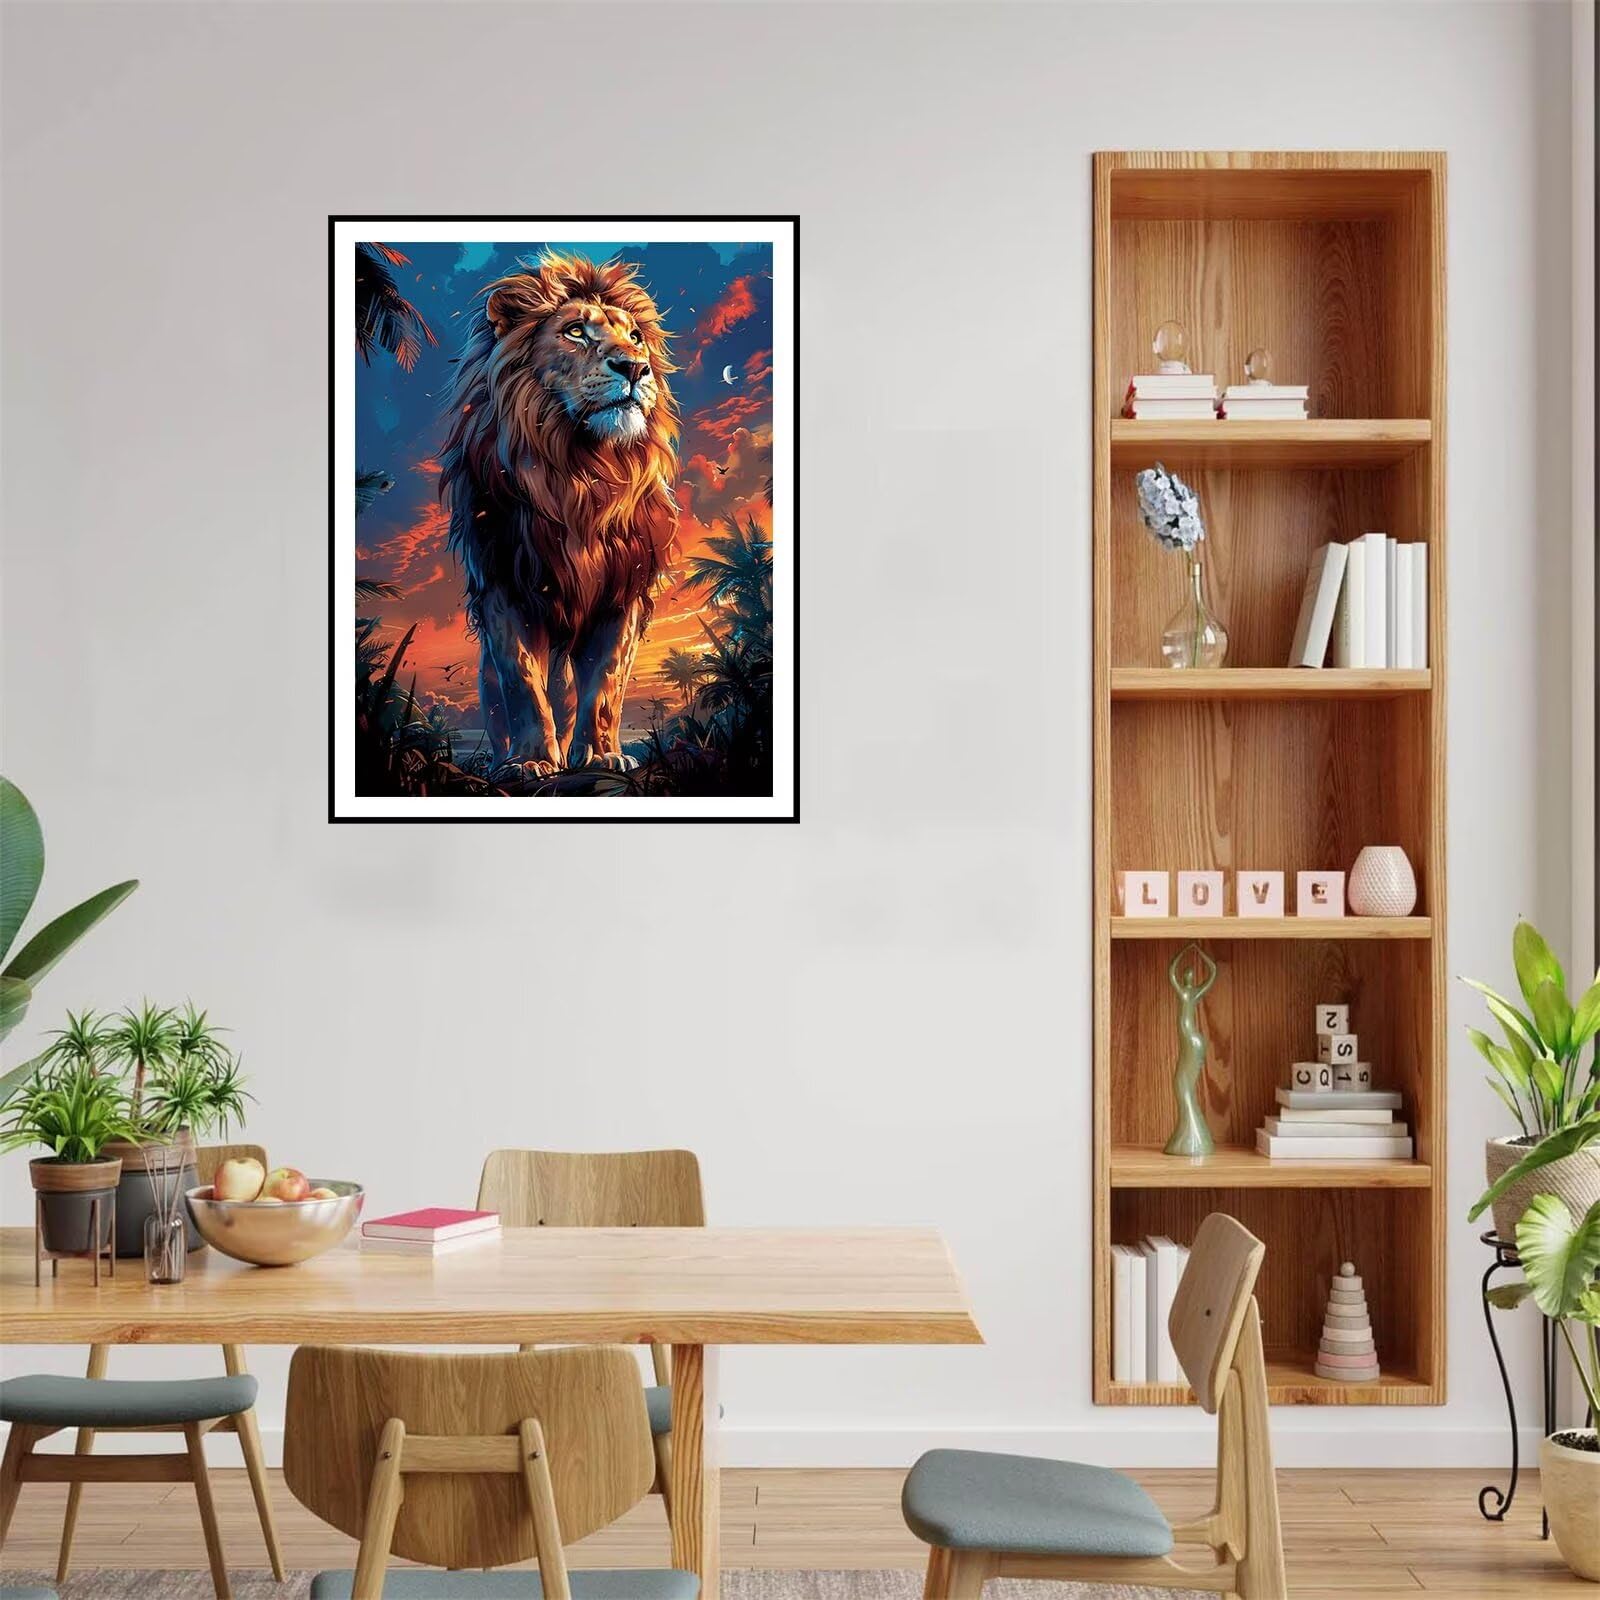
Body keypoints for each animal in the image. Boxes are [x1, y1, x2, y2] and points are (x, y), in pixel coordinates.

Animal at [439, 251, 680, 775]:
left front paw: (601, 755)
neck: (581, 474)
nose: (635, 368)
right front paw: (529, 762)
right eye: (574, 331)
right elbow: (522, 683)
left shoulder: (623, 591)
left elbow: (605, 685)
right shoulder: (503, 585)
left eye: (635, 337)